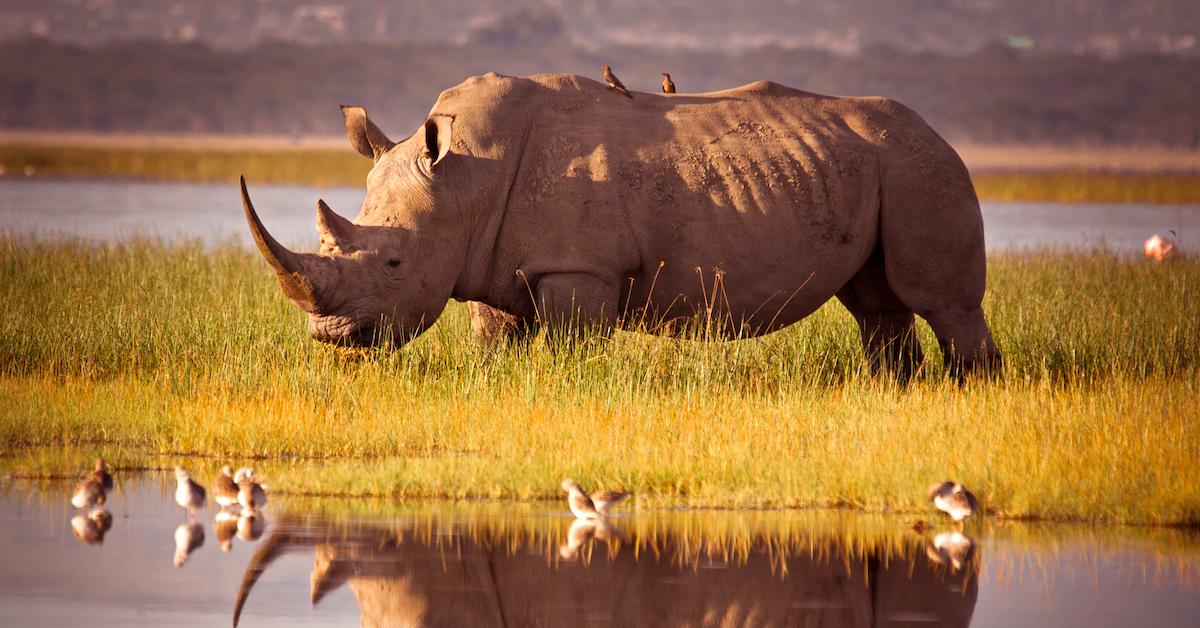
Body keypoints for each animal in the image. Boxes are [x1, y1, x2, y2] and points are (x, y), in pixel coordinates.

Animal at [238, 73, 998, 379]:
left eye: (394, 263)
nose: (333, 337)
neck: (464, 182)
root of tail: (938, 132)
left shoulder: (580, 267)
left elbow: (573, 347)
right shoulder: (489, 261)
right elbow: (494, 341)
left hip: (922, 166)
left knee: (943, 302)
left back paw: (971, 390)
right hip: (879, 166)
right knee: (877, 306)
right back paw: (895, 391)